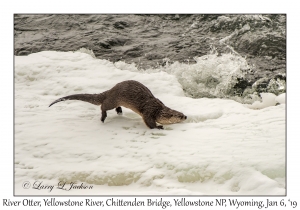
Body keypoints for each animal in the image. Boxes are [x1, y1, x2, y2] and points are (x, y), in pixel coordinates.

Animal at [48, 80, 186, 130]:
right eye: (179, 116)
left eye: (182, 113)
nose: (186, 117)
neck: (157, 109)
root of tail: (110, 90)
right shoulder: (148, 112)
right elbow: (149, 123)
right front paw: (158, 127)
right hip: (113, 100)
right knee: (103, 106)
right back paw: (103, 117)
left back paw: (119, 111)